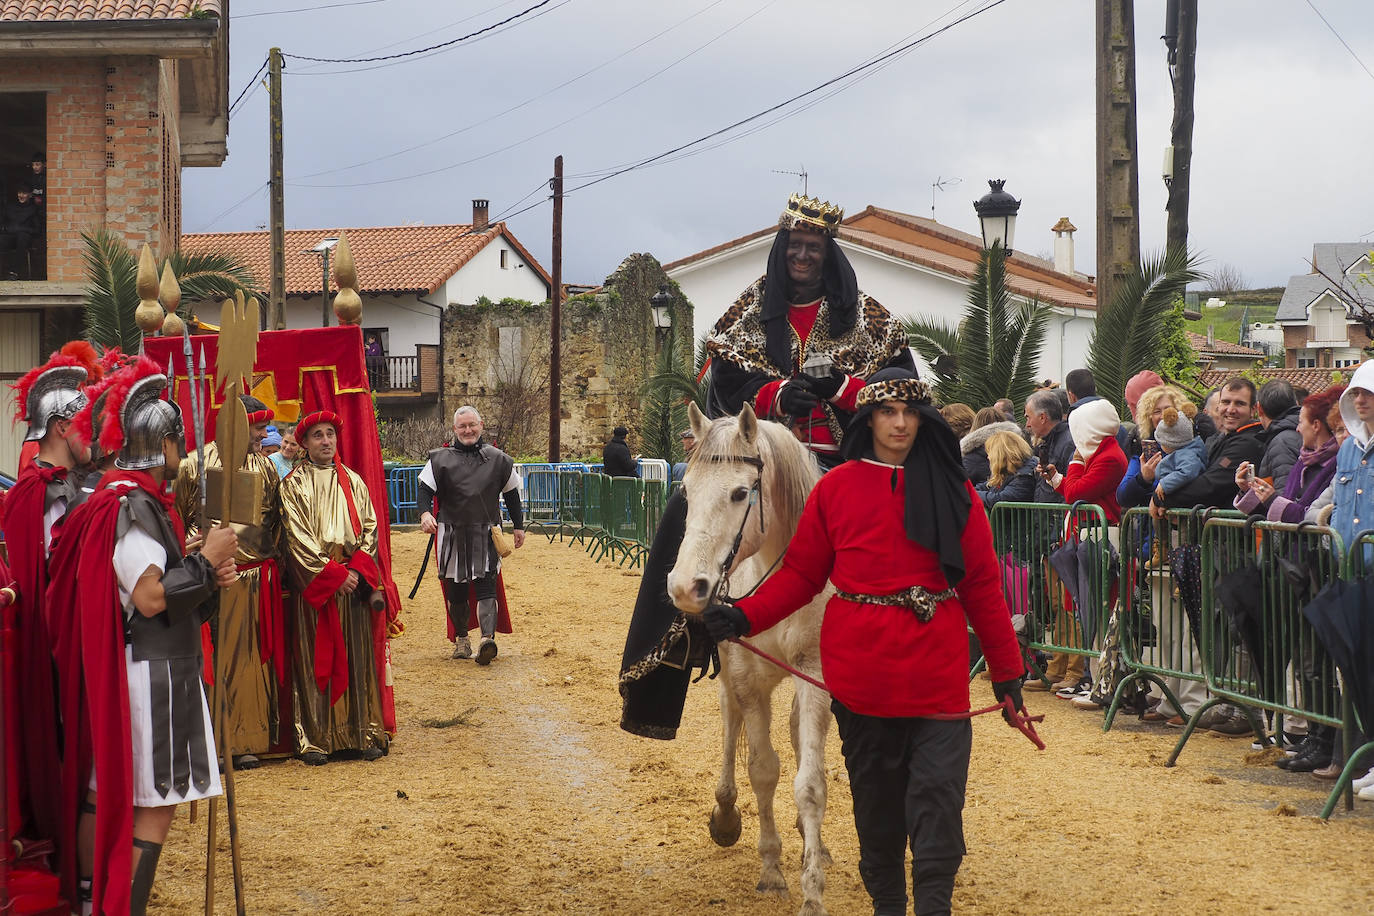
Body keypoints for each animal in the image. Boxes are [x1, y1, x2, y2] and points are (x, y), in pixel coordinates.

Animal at [665, 403, 824, 916]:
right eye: (686, 491)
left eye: (739, 493)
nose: (684, 586)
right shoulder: (746, 677)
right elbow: (762, 769)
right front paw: (771, 868)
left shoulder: (812, 674)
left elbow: (808, 782)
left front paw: (813, 886)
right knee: (729, 724)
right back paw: (726, 813)